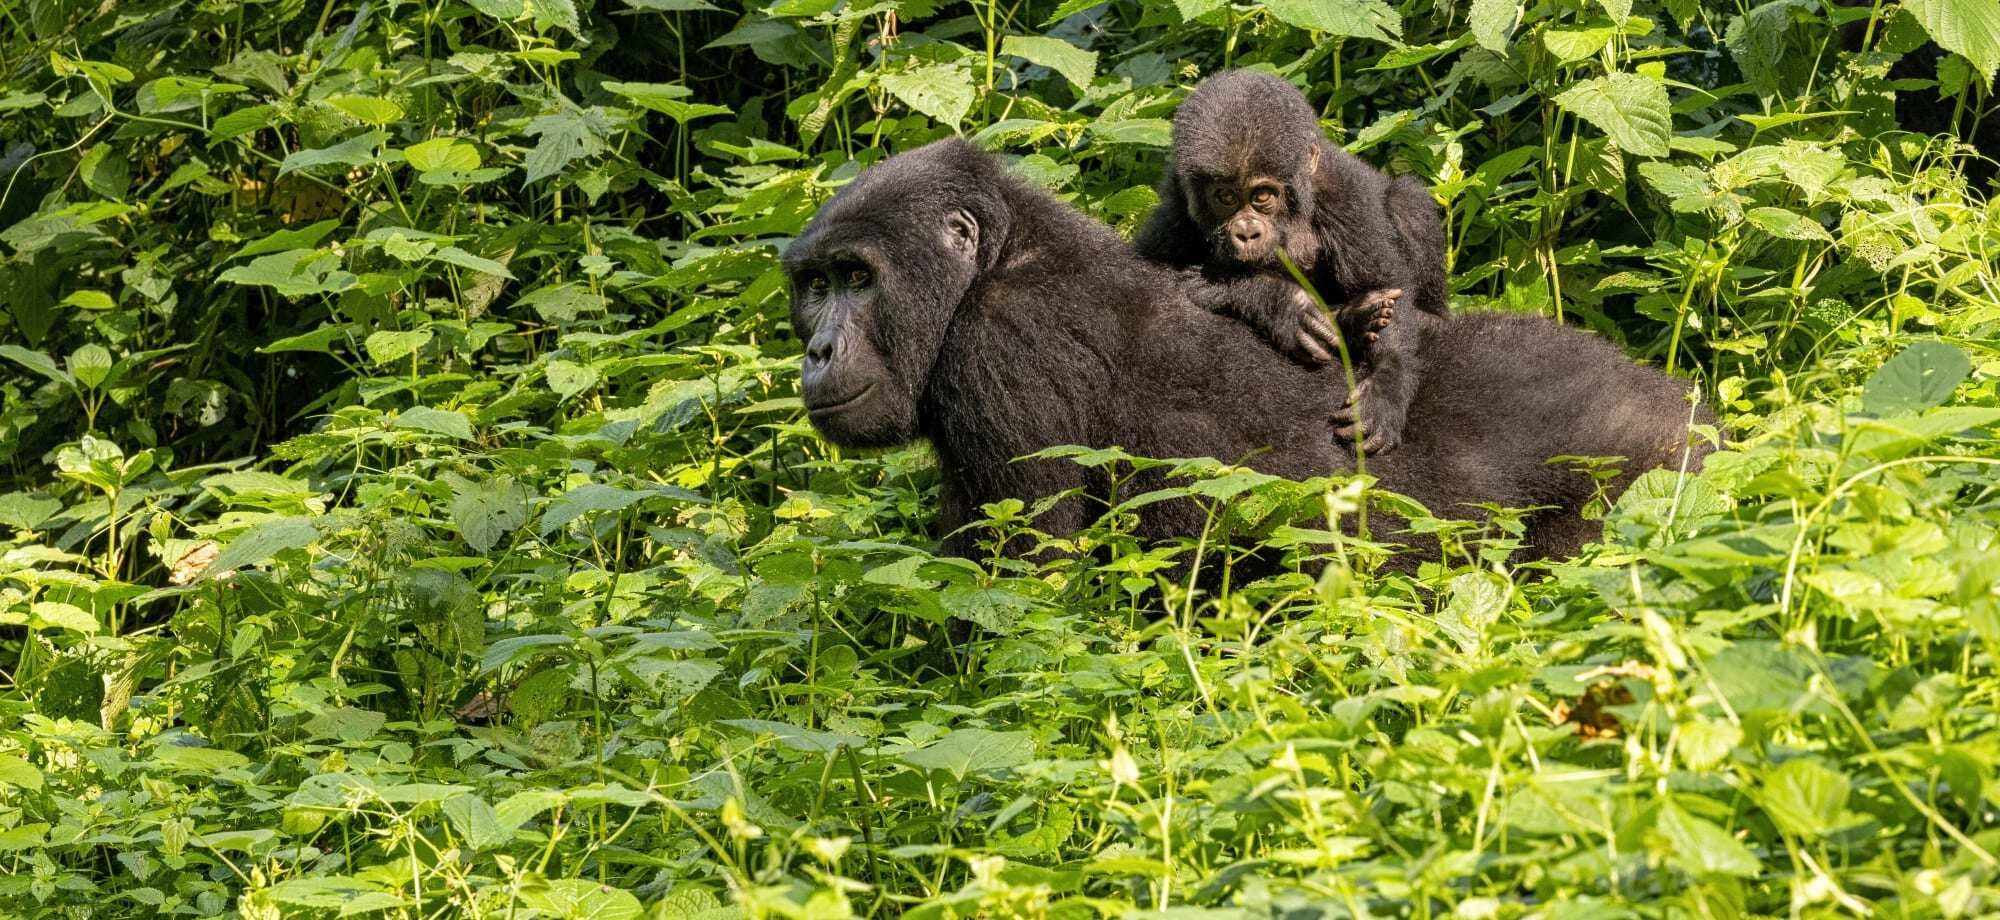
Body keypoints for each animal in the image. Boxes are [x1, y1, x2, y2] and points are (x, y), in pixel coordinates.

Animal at [780, 140, 1704, 564]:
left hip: (1644, 469)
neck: (998, 259)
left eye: (858, 278)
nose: (819, 350)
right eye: (814, 285)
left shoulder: (998, 351)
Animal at [1136, 70, 1448, 452]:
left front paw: (1386, 388)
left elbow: (1382, 284)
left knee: (1407, 202)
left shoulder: (1343, 192)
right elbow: (1157, 277)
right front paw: (1283, 304)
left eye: (1262, 196)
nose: (1246, 233)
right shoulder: (1176, 209)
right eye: (1225, 197)